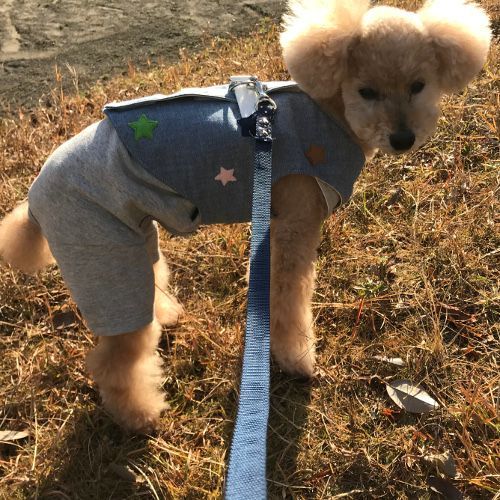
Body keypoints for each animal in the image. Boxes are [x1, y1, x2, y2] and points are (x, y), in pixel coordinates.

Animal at [0, 0, 492, 434]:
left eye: (419, 85)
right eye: (366, 91)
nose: (403, 138)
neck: (329, 113)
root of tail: (34, 198)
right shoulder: (295, 222)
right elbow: (289, 301)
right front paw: (296, 360)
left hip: (131, 235)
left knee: (147, 283)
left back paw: (165, 316)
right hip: (99, 250)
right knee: (114, 356)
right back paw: (139, 417)